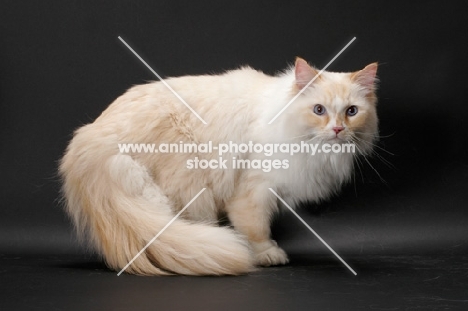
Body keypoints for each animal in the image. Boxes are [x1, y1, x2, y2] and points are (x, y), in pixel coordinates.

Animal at [59, 58, 380, 276]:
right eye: (319, 110)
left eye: (352, 111)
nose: (337, 130)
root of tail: (93, 137)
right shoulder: (253, 191)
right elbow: (256, 229)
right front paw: (267, 255)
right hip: (181, 180)